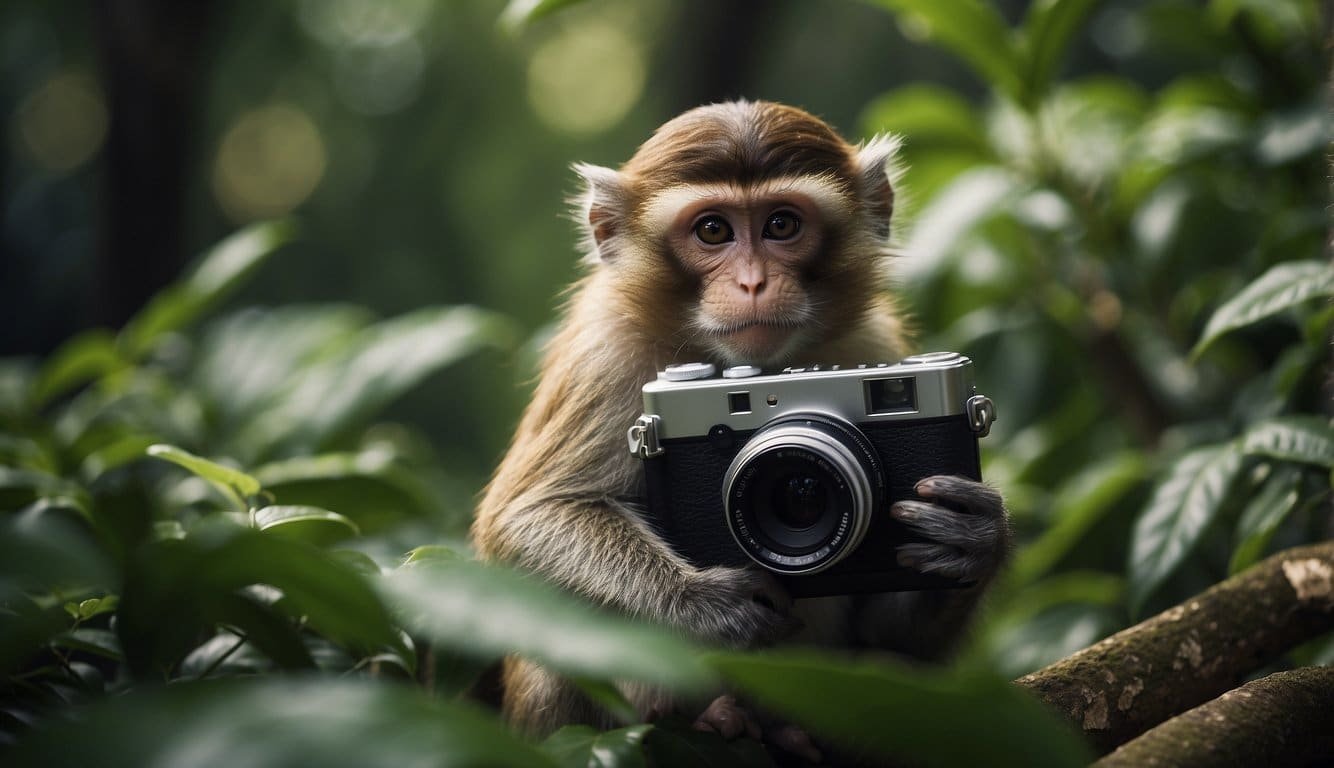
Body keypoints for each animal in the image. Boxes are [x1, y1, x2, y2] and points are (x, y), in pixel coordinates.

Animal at [469, 98, 1003, 746]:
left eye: (782, 225)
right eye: (713, 230)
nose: (753, 282)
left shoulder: (872, 340)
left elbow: (896, 640)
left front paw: (972, 537)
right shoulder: (605, 352)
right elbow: (529, 516)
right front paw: (704, 603)